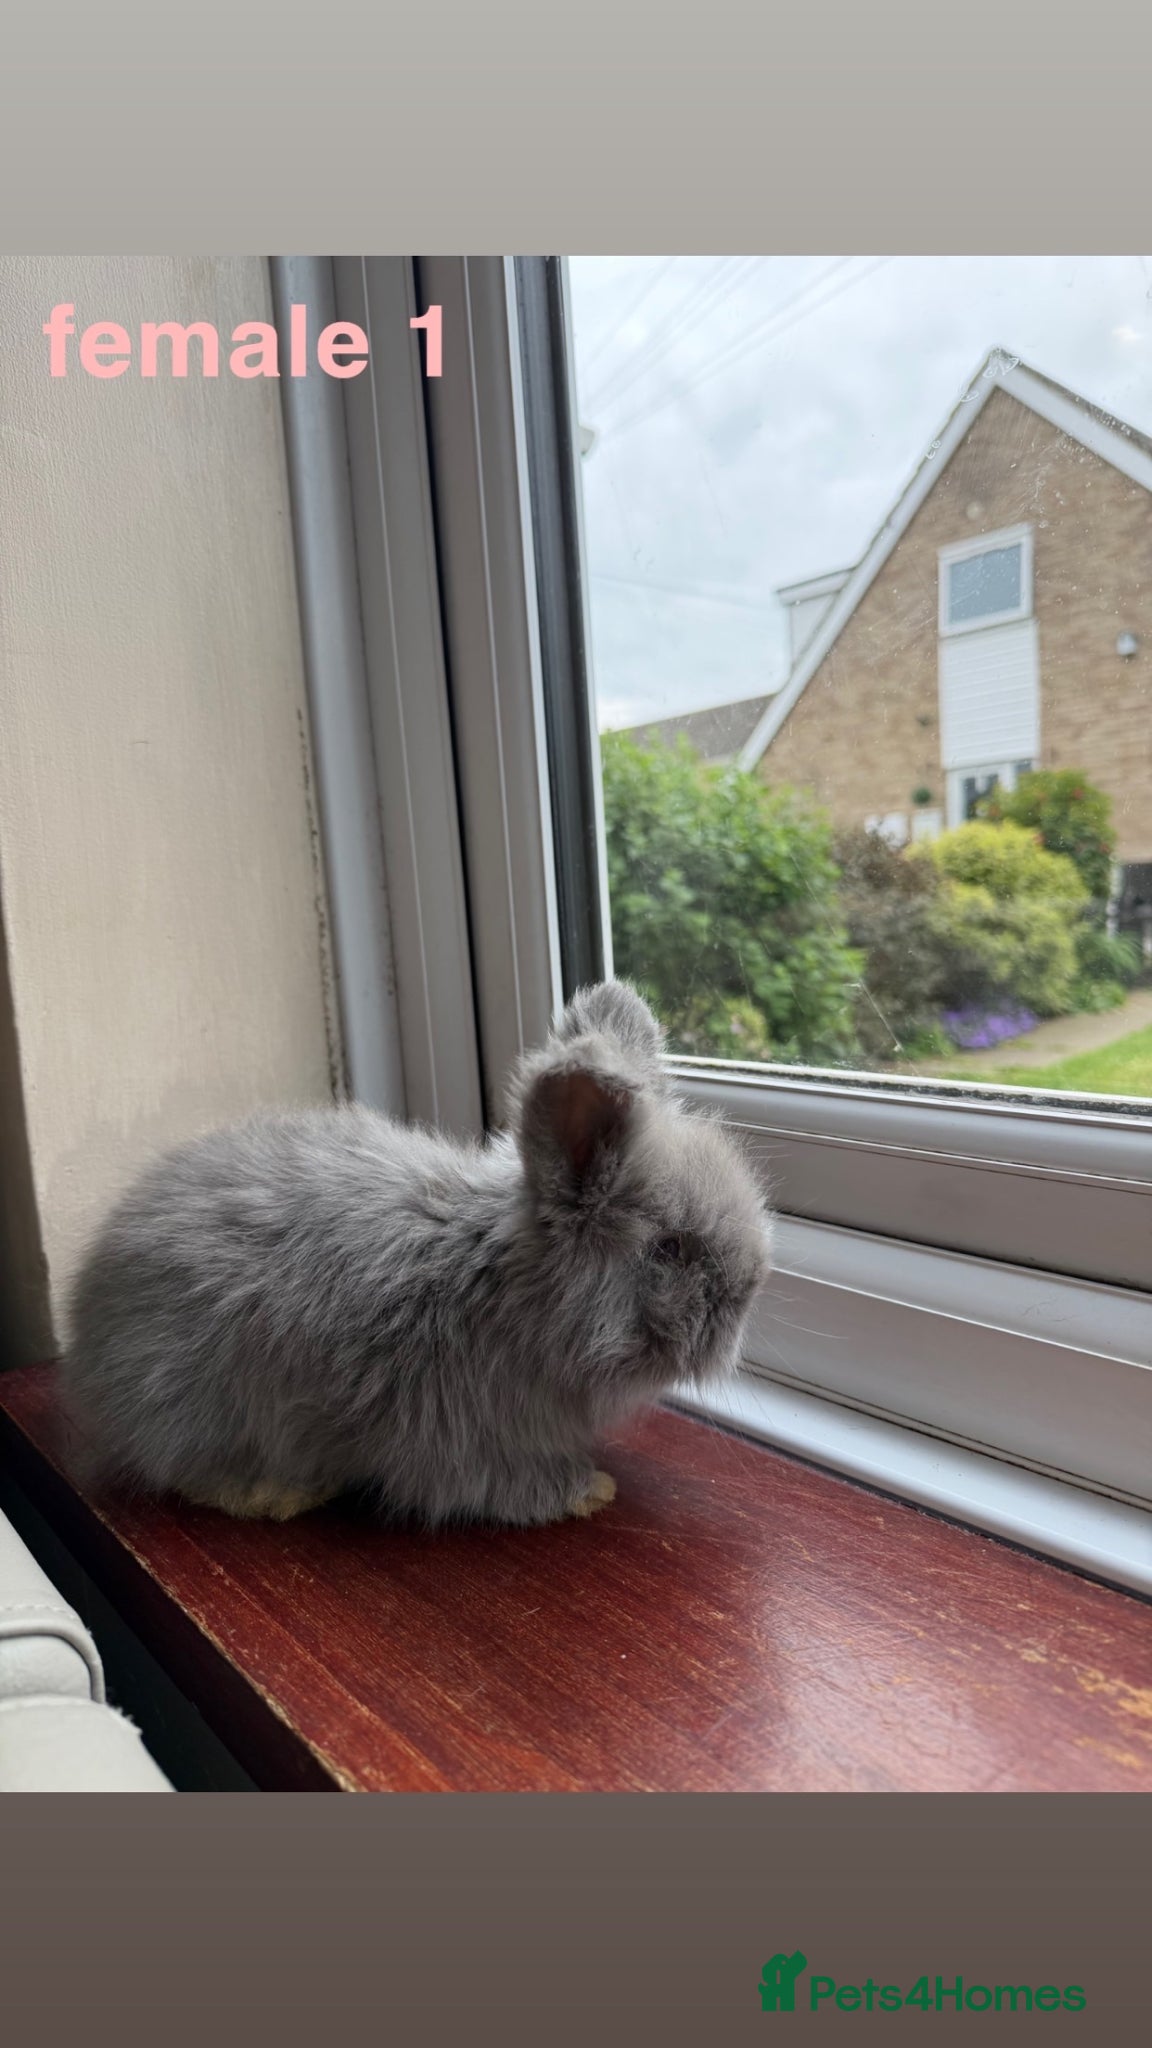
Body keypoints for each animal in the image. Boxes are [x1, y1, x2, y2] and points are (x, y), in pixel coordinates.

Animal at [61, 980, 773, 1528]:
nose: (751, 1289)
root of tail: (84, 1325)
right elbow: (503, 1485)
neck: (503, 1291)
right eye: (669, 1248)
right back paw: (277, 1493)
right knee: (184, 1469)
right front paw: (589, 1491)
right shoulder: (455, 1441)